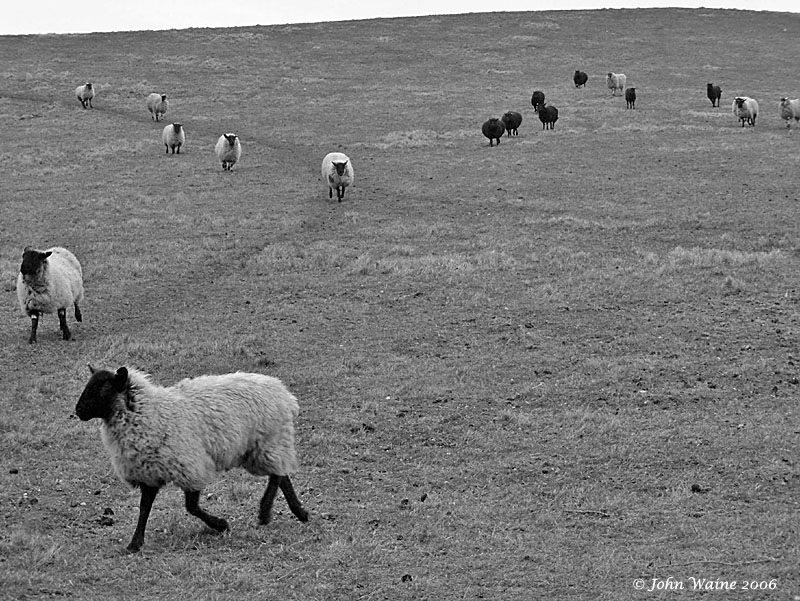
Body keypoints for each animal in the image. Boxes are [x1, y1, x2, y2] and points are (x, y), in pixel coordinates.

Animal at [73, 364, 310, 552]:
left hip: (267, 441)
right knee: (281, 473)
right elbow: (144, 509)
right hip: (259, 448)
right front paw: (135, 543)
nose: (78, 411)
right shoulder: (149, 473)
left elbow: (191, 507)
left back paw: (265, 511)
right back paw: (299, 512)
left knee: (277, 473)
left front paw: (221, 525)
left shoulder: (190, 466)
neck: (148, 413)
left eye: (104, 388)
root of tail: (284, 393)